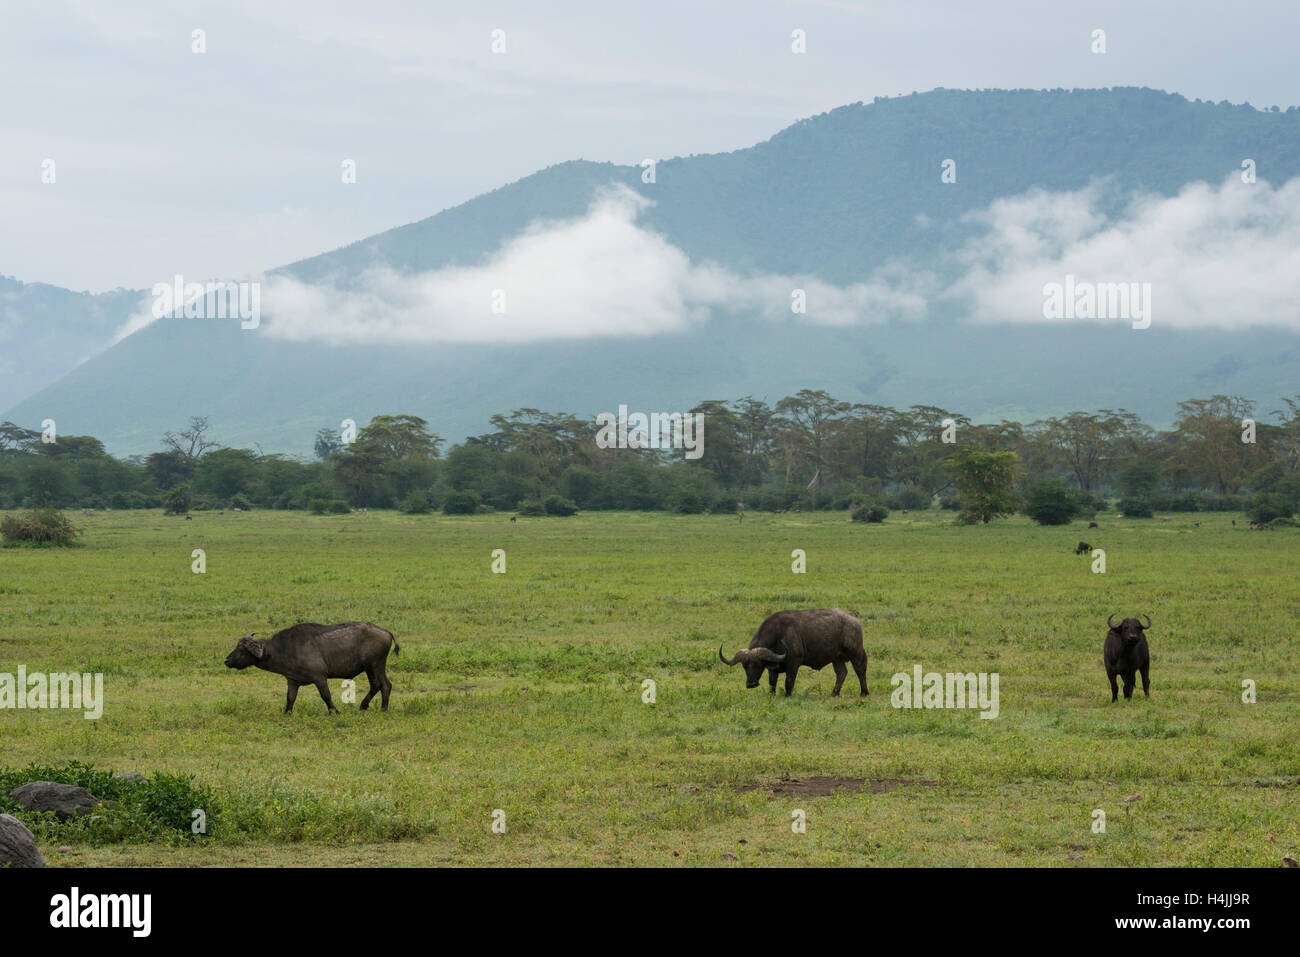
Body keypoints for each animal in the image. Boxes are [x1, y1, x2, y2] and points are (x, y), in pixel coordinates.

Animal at [223, 621, 397, 712]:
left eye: (241, 649)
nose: (226, 660)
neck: (285, 648)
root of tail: (386, 632)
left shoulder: (319, 677)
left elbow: (326, 696)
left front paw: (334, 711)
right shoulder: (292, 681)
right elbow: (290, 698)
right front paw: (287, 713)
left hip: (374, 665)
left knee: (381, 685)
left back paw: (377, 708)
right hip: (374, 667)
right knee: (382, 685)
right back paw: (372, 707)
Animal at [717, 608, 868, 696]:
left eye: (758, 665)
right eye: (744, 666)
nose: (751, 684)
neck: (778, 636)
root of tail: (854, 620)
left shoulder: (794, 663)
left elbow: (789, 682)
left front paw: (787, 695)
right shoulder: (773, 668)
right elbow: (772, 683)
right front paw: (772, 695)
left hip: (856, 652)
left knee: (860, 670)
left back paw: (864, 692)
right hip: (836, 658)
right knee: (841, 673)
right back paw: (834, 693)